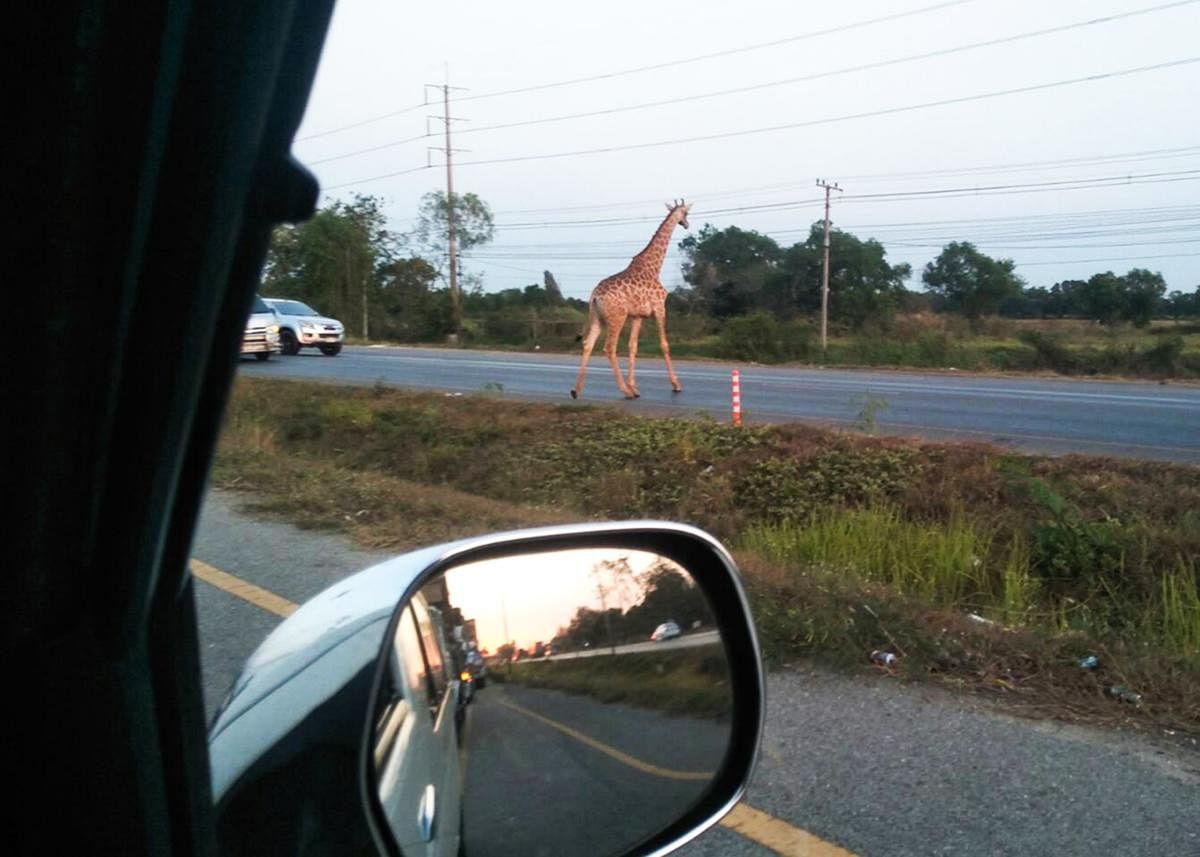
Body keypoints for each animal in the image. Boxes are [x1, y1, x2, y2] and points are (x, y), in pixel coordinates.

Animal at [573, 198, 696, 398]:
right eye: (686, 213)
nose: (686, 224)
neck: (654, 267)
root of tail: (594, 296)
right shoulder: (660, 308)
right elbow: (664, 344)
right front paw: (676, 385)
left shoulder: (638, 315)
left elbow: (633, 346)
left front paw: (634, 386)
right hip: (617, 317)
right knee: (609, 348)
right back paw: (624, 391)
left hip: (598, 318)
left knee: (587, 344)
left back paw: (576, 390)